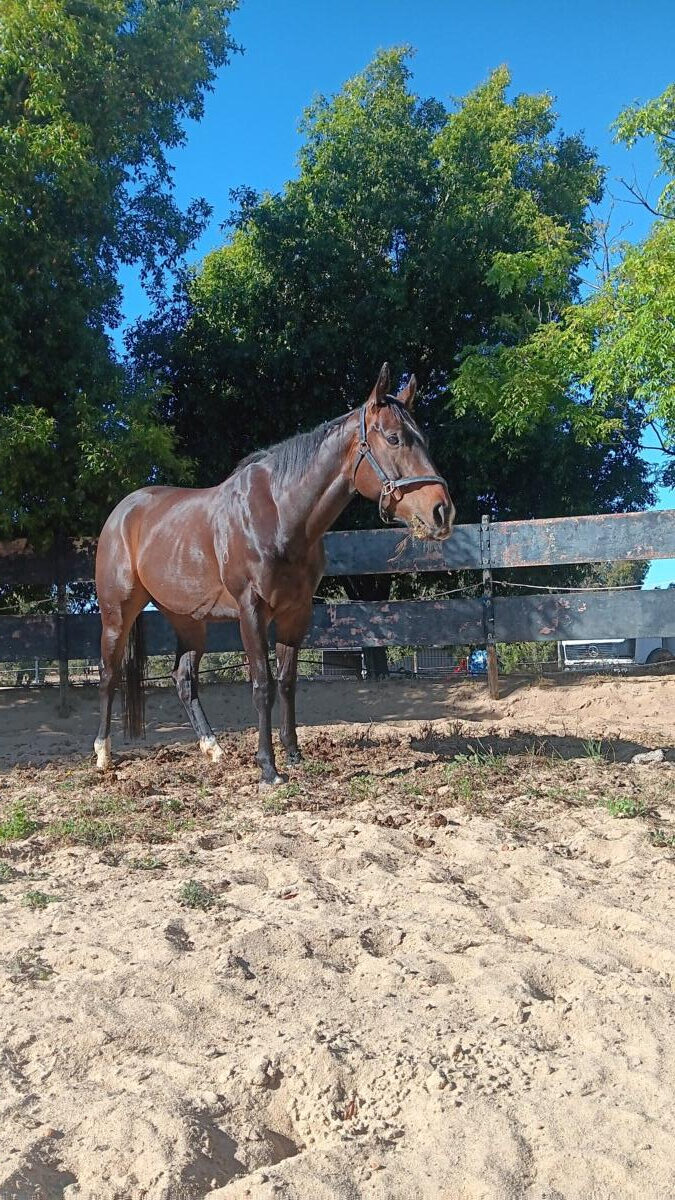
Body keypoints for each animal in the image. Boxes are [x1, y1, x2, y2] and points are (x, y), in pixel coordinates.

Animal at [94, 363, 454, 787]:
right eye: (395, 438)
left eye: (424, 440)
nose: (442, 512)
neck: (280, 514)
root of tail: (123, 512)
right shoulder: (252, 611)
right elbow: (262, 684)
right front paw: (268, 766)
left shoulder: (296, 613)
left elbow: (287, 681)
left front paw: (293, 753)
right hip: (118, 614)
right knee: (109, 674)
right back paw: (102, 754)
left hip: (188, 620)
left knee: (183, 678)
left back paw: (213, 749)